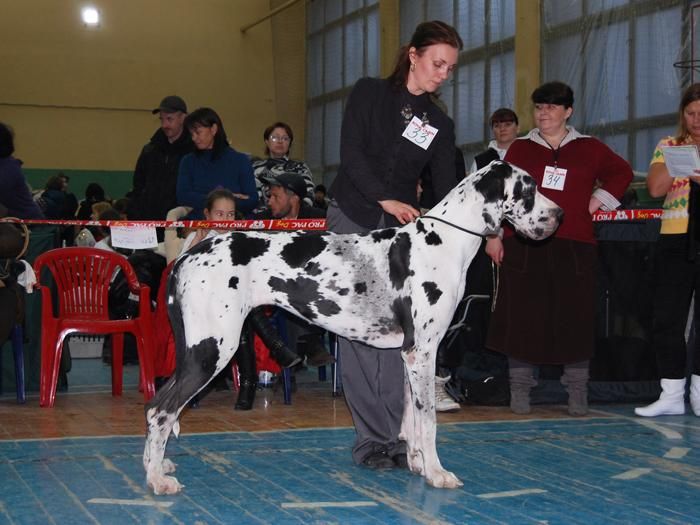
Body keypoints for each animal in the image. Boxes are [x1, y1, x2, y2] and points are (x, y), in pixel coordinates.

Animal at [143, 160, 562, 495]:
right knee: (160, 409)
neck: (444, 241)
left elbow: (411, 417)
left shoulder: (410, 356)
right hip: (212, 348)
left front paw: (417, 465)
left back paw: (157, 465)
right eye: (528, 188)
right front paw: (437, 473)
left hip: (196, 350)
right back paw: (157, 480)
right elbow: (428, 422)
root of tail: (190, 254)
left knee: (159, 405)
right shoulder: (424, 352)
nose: (558, 214)